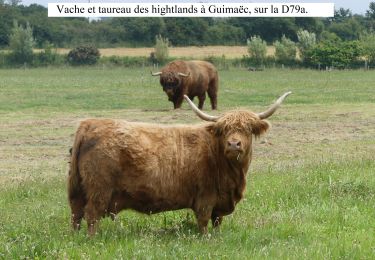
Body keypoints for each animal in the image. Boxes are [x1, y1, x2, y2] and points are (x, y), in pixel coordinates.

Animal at [67, 92, 290, 236]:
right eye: (224, 130)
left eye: (247, 129)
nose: (234, 144)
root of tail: (89, 123)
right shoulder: (205, 196)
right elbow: (203, 221)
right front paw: (206, 239)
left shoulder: (220, 201)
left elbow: (217, 221)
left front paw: (217, 236)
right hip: (99, 189)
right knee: (91, 214)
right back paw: (92, 239)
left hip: (78, 188)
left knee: (76, 213)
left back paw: (75, 237)